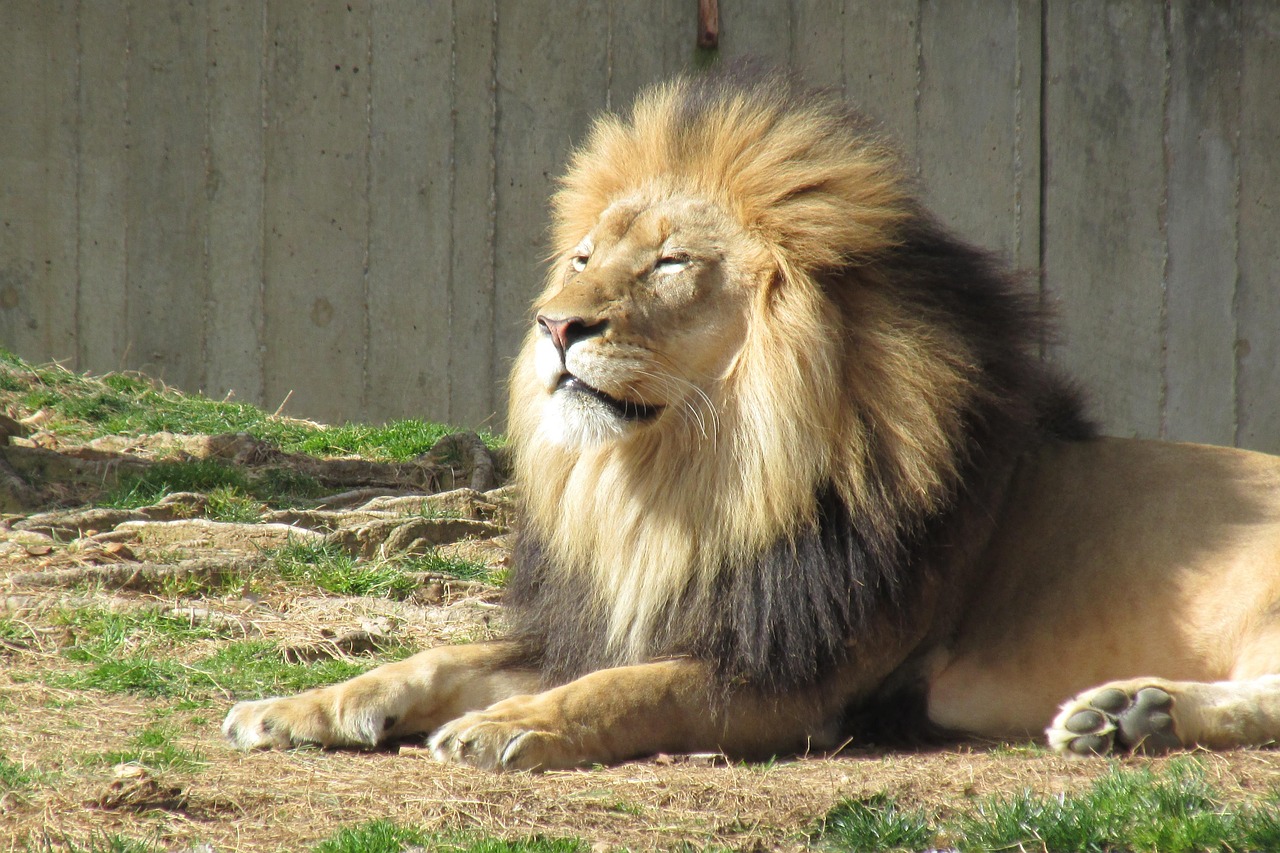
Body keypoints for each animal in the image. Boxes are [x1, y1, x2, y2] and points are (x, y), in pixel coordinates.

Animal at [223, 69, 1280, 770]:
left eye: (669, 263)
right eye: (581, 258)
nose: (554, 325)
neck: (687, 484)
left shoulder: (799, 677)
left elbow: (628, 690)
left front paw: (511, 726)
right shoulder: (629, 617)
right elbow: (440, 653)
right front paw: (295, 704)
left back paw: (1135, 708)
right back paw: (1127, 714)